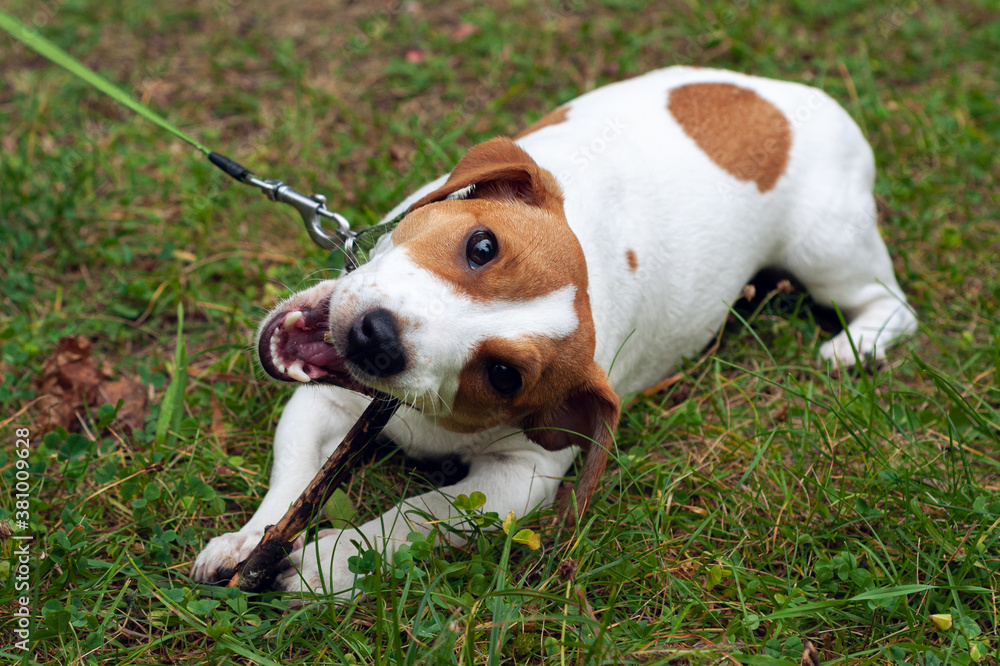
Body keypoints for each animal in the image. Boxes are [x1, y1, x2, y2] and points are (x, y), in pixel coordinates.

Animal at [188, 67, 916, 592]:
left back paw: (854, 347)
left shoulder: (522, 480)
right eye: (482, 245)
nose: (376, 337)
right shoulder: (326, 404)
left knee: (890, 303)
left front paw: (325, 563)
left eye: (505, 375)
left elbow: (415, 518)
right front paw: (250, 542)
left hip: (827, 249)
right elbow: (292, 478)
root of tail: (810, 97)